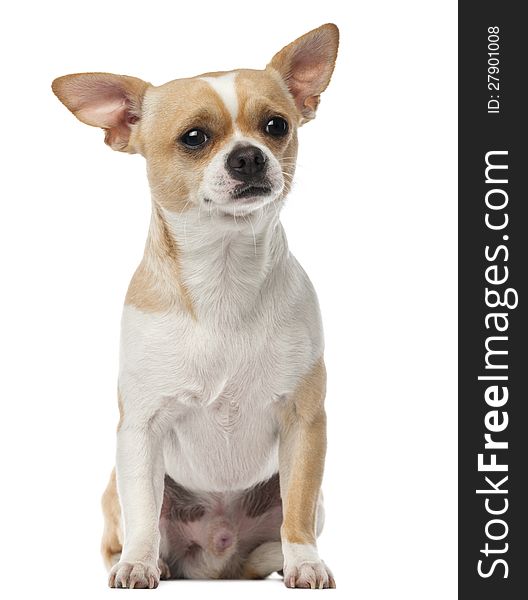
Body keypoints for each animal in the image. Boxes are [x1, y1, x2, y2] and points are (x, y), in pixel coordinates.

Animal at [52, 22, 338, 592]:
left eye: (276, 126)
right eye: (194, 138)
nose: (249, 155)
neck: (224, 276)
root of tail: (216, 559)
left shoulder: (305, 423)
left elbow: (296, 509)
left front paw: (306, 563)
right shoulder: (140, 430)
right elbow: (144, 509)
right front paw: (139, 564)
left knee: (286, 525)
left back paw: (278, 559)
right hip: (116, 487)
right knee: (129, 526)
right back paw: (148, 560)